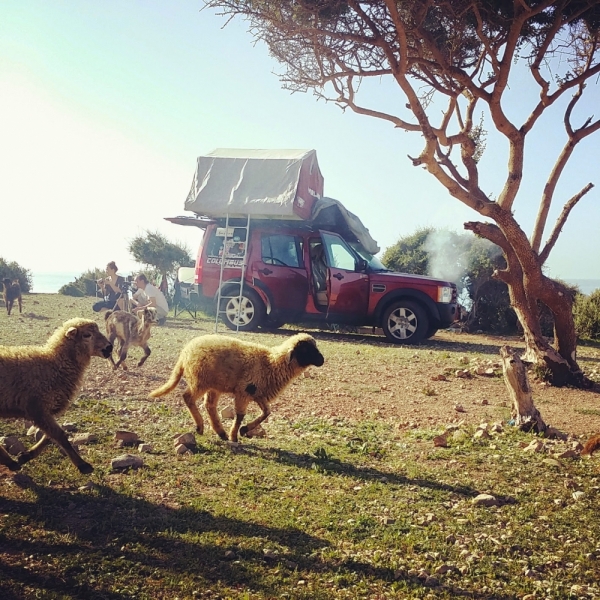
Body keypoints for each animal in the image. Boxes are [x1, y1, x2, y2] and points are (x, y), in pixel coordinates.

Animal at [0, 316, 113, 476]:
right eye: (87, 335)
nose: (109, 348)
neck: (53, 364)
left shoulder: (44, 411)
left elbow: (50, 436)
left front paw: (27, 455)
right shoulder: (36, 407)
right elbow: (59, 435)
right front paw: (82, 465)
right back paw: (9, 462)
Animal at [149, 332, 324, 440]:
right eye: (306, 349)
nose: (322, 360)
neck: (272, 363)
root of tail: (185, 352)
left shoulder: (258, 393)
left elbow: (266, 413)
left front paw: (244, 430)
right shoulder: (244, 391)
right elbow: (240, 416)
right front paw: (235, 436)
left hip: (214, 385)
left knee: (209, 405)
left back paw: (220, 432)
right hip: (199, 380)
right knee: (188, 397)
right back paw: (201, 427)